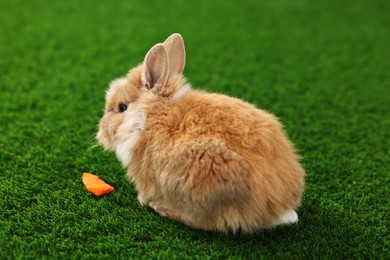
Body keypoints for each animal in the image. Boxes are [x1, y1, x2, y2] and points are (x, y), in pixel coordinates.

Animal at [96, 32, 304, 234]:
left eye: (122, 107)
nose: (102, 130)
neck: (150, 115)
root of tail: (277, 208)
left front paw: (143, 199)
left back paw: (162, 208)